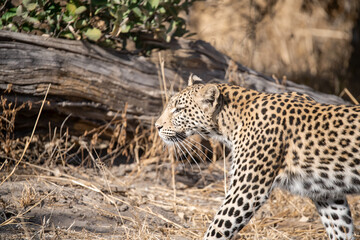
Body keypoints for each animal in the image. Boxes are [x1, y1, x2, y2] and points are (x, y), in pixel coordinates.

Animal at [155, 74, 360, 239]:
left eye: (179, 109)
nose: (157, 126)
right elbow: (340, 228)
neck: (228, 123)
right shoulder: (327, 194)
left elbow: (216, 229)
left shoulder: (247, 189)